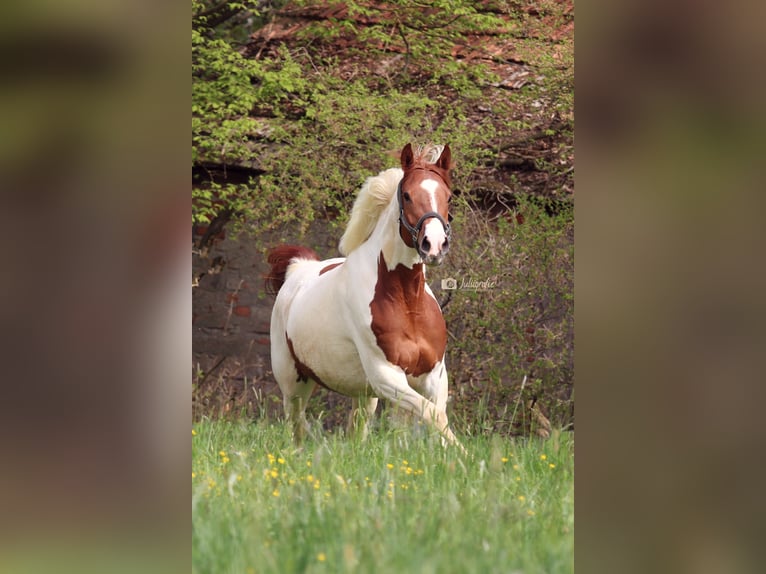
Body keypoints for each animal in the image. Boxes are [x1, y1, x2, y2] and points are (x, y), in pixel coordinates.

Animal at [266, 143, 462, 450]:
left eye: (449, 196)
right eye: (407, 195)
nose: (434, 245)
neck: (408, 302)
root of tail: (299, 268)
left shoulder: (433, 376)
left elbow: (434, 418)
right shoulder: (386, 376)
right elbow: (433, 415)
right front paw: (465, 455)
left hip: (363, 394)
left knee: (357, 431)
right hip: (295, 384)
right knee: (297, 427)